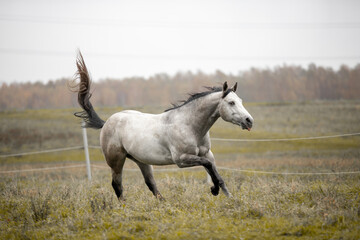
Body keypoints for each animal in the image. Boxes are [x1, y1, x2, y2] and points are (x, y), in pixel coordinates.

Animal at [72, 51, 253, 200]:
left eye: (240, 100)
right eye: (231, 102)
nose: (249, 120)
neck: (190, 126)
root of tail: (107, 123)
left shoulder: (207, 154)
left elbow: (217, 175)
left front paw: (231, 199)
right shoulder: (181, 159)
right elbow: (208, 167)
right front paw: (214, 191)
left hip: (141, 161)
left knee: (150, 184)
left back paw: (164, 204)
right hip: (116, 161)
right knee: (117, 185)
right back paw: (124, 208)